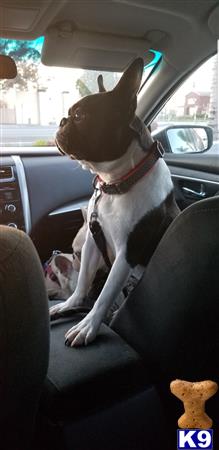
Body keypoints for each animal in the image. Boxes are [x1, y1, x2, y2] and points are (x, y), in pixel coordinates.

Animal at [49, 59, 180, 348]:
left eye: (80, 116)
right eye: (70, 114)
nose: (61, 120)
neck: (118, 183)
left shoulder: (126, 254)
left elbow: (105, 293)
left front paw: (87, 326)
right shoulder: (93, 241)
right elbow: (83, 279)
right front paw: (70, 304)